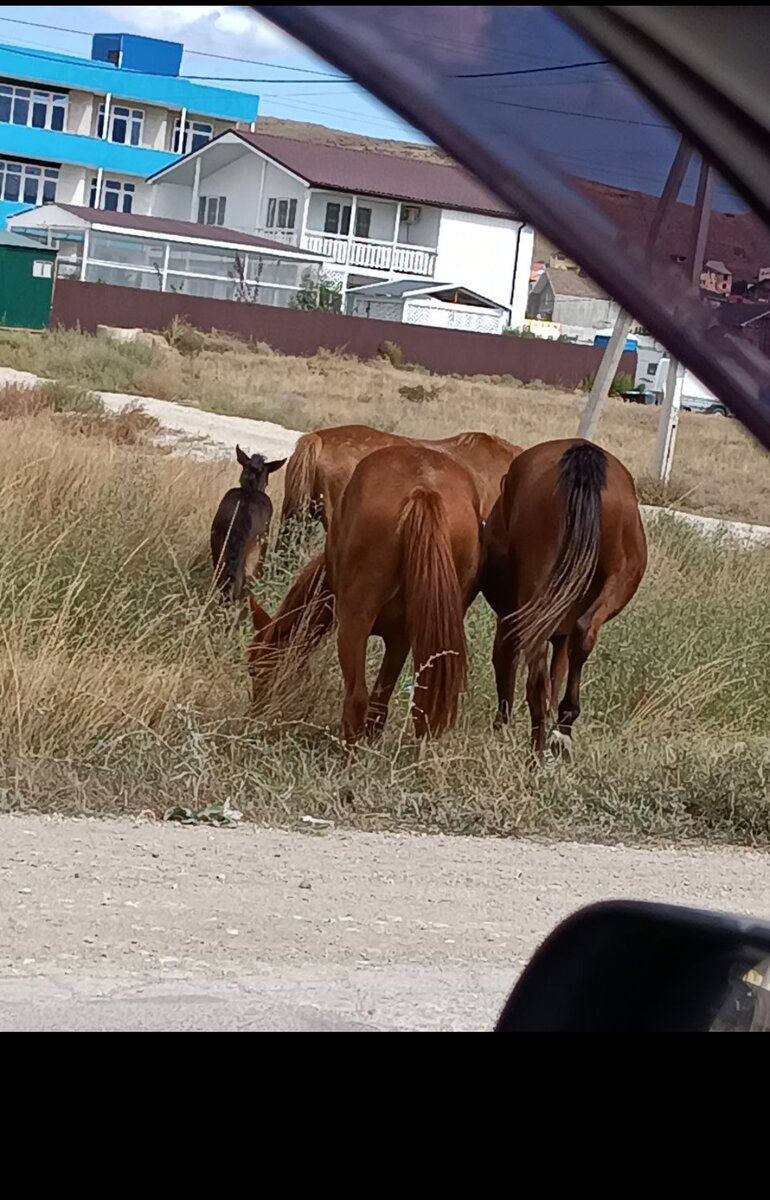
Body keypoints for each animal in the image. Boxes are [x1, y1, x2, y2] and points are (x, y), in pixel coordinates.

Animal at [250, 444, 479, 734]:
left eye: (254, 668)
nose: (254, 713)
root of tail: (424, 490)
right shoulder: (400, 639)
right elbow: (380, 708)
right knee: (422, 709)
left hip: (354, 624)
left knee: (356, 701)